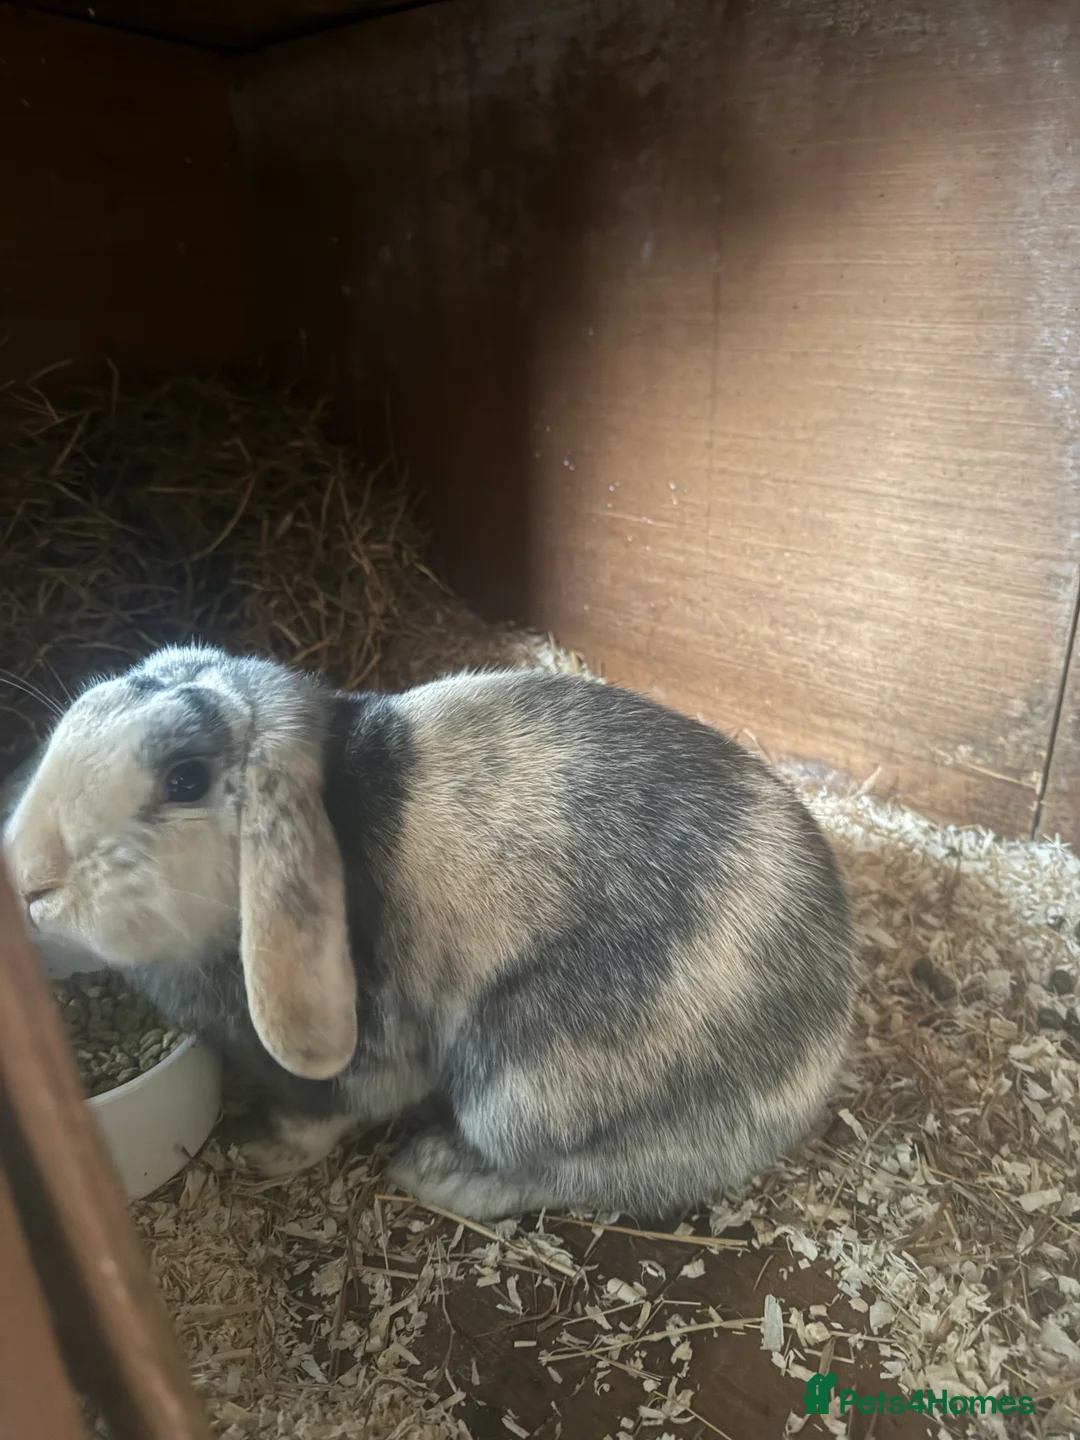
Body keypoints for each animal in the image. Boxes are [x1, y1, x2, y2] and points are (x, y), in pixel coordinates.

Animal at [3, 643, 856, 1221]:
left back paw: (435, 1172)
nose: (30, 880)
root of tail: (820, 1050)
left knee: (575, 1174)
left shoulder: (365, 1056)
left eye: (185, 779)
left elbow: (325, 1114)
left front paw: (261, 1152)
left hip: (520, 1086)